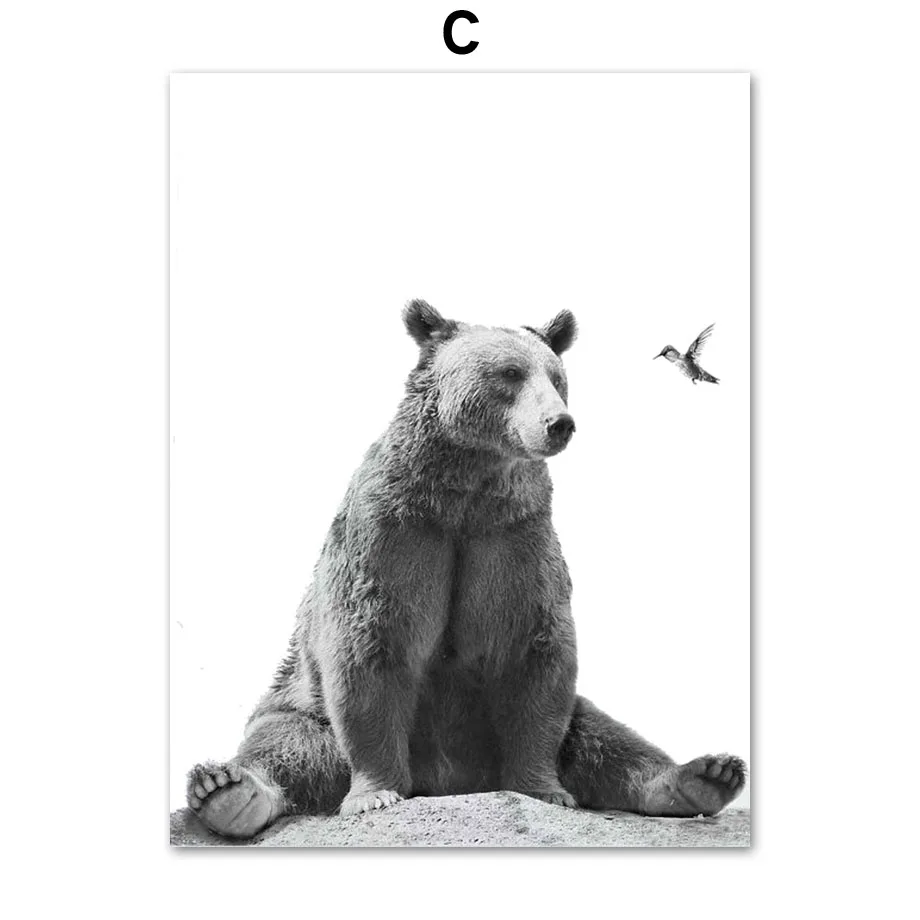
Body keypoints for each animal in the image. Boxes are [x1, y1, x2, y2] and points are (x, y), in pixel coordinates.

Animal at [186, 299, 747, 839]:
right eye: (510, 373)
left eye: (556, 376)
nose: (559, 423)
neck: (464, 494)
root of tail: (451, 781)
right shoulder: (396, 536)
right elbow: (370, 645)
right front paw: (377, 794)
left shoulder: (512, 539)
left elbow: (537, 655)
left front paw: (544, 789)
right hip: (300, 704)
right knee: (285, 743)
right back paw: (227, 790)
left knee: (599, 732)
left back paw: (703, 774)